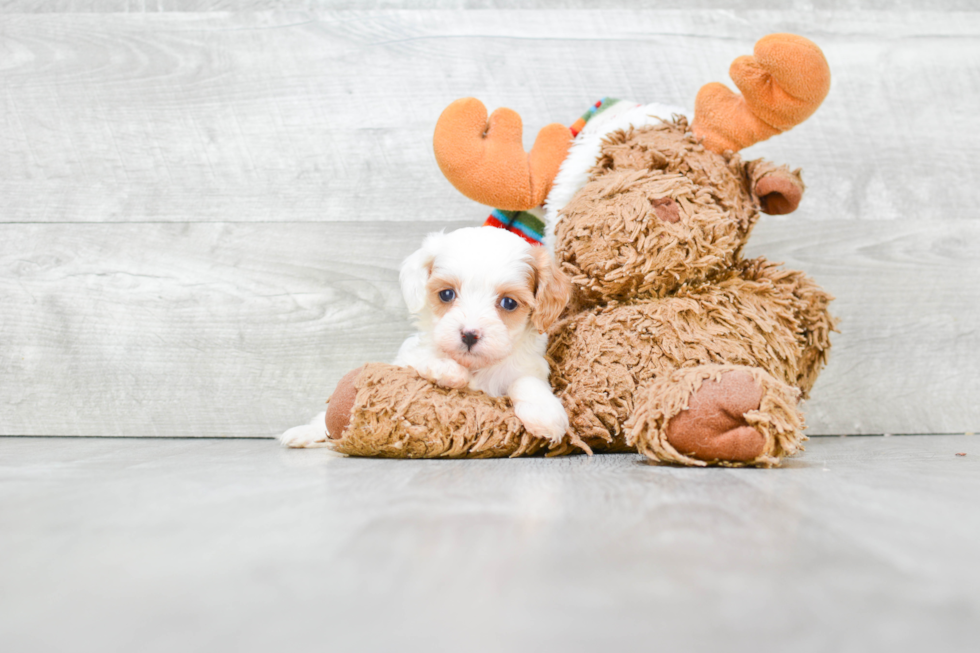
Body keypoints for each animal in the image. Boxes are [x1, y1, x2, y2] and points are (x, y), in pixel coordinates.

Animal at [392, 225, 572, 444]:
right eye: (446, 294)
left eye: (509, 303)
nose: (469, 335)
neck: (478, 367)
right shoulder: (403, 359)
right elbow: (419, 356)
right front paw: (446, 368)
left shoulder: (530, 366)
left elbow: (526, 380)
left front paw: (544, 411)